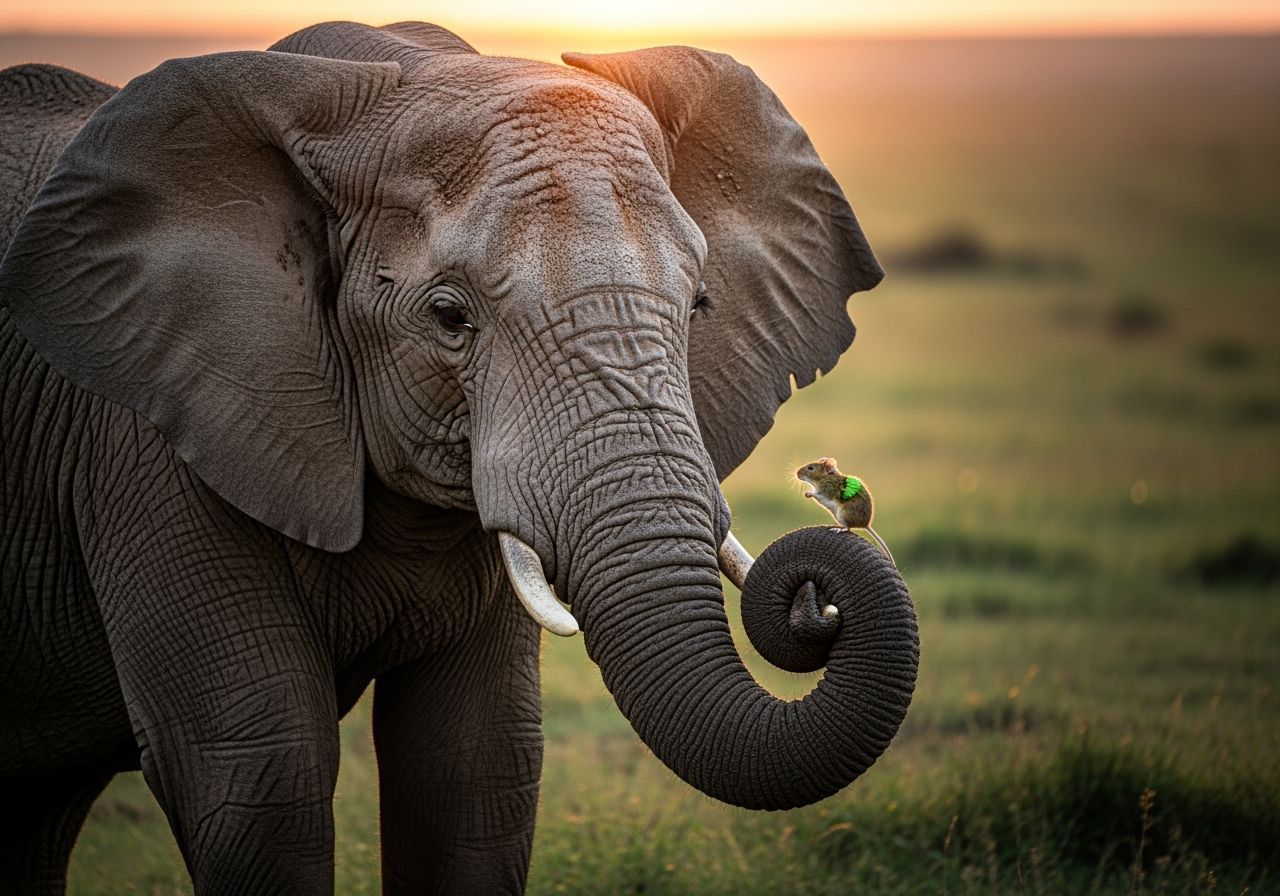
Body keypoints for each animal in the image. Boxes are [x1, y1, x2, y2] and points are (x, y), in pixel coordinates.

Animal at [0, 20, 918, 895]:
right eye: (448, 316)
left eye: (698, 305)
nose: (818, 595)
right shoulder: (148, 441)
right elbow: (257, 769)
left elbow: (474, 766)